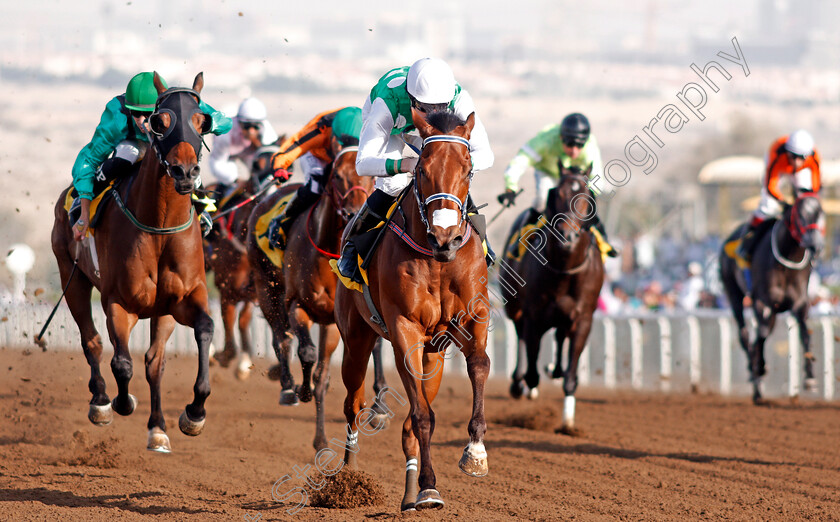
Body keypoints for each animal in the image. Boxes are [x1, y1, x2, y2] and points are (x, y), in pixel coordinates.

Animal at [48, 73, 217, 450]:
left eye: (202, 121)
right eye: (160, 121)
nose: (185, 172)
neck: (160, 227)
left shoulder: (185, 298)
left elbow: (204, 329)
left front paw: (194, 414)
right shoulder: (118, 302)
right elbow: (121, 363)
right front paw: (121, 403)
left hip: (162, 310)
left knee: (154, 362)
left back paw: (158, 427)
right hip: (72, 276)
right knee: (92, 341)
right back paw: (100, 401)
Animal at [204, 146, 278, 378]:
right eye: (256, 166)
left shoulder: (255, 288)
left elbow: (244, 318)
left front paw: (244, 362)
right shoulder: (227, 286)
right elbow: (227, 319)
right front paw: (224, 355)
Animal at [334, 107, 492, 510]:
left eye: (468, 168)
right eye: (421, 168)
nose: (445, 238)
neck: (438, 261)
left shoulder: (472, 318)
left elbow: (479, 365)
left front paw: (475, 452)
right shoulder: (405, 328)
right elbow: (422, 416)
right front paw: (430, 486)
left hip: (433, 357)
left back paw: (408, 491)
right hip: (356, 339)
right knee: (353, 404)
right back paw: (347, 478)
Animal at [498, 165, 604, 432]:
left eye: (587, 197)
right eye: (557, 195)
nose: (567, 236)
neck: (564, 270)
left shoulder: (583, 319)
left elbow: (571, 377)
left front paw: (568, 424)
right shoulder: (534, 316)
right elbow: (531, 369)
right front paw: (528, 386)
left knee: (558, 338)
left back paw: (553, 370)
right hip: (515, 307)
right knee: (521, 337)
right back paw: (519, 384)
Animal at [720, 193, 824, 400]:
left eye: (819, 213)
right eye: (800, 214)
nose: (815, 245)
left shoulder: (800, 303)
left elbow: (805, 333)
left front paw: (810, 378)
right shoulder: (763, 302)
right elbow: (761, 333)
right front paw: (759, 367)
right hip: (733, 292)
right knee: (745, 335)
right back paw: (755, 379)